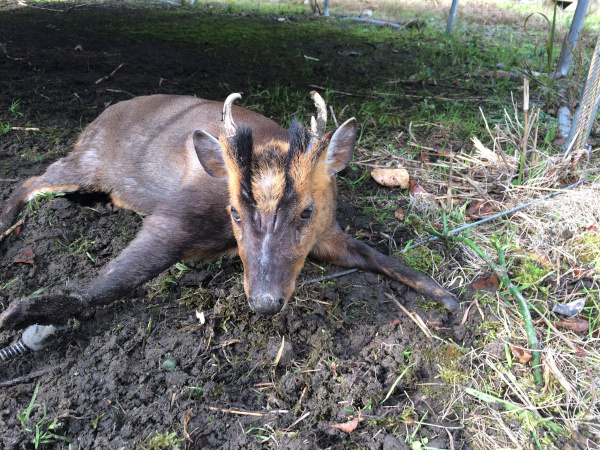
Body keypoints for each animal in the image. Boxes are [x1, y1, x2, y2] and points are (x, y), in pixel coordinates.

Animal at [0, 92, 460, 330]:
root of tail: (94, 121)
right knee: (29, 181)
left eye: (306, 213)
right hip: (89, 159)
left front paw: (450, 298)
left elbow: (377, 256)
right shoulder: (180, 211)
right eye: (234, 213)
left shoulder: (327, 232)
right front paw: (21, 313)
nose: (266, 302)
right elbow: (121, 276)